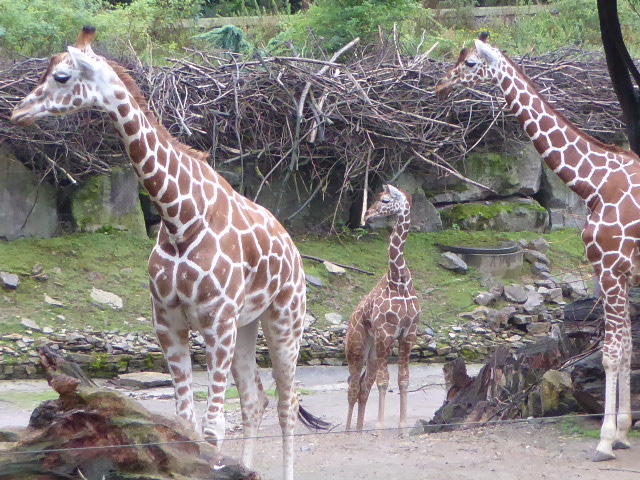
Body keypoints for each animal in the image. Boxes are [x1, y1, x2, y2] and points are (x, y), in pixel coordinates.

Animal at [11, 27, 324, 480]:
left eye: (62, 77)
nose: (18, 112)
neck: (179, 218)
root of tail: (295, 251)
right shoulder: (169, 323)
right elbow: (185, 422)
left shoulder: (215, 323)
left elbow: (212, 427)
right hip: (246, 325)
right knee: (255, 400)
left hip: (285, 319)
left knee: (287, 403)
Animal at [344, 184, 420, 432]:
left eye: (385, 200)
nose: (367, 215)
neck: (399, 282)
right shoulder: (386, 333)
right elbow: (384, 381)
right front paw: (379, 427)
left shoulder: (408, 334)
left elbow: (403, 380)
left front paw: (403, 427)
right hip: (357, 347)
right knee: (353, 386)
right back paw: (348, 432)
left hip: (372, 351)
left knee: (363, 387)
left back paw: (359, 431)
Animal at [436, 33, 636, 462]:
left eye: (471, 63)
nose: (441, 85)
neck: (595, 183)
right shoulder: (622, 272)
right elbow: (626, 347)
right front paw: (625, 432)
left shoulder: (610, 267)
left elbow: (611, 352)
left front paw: (605, 441)